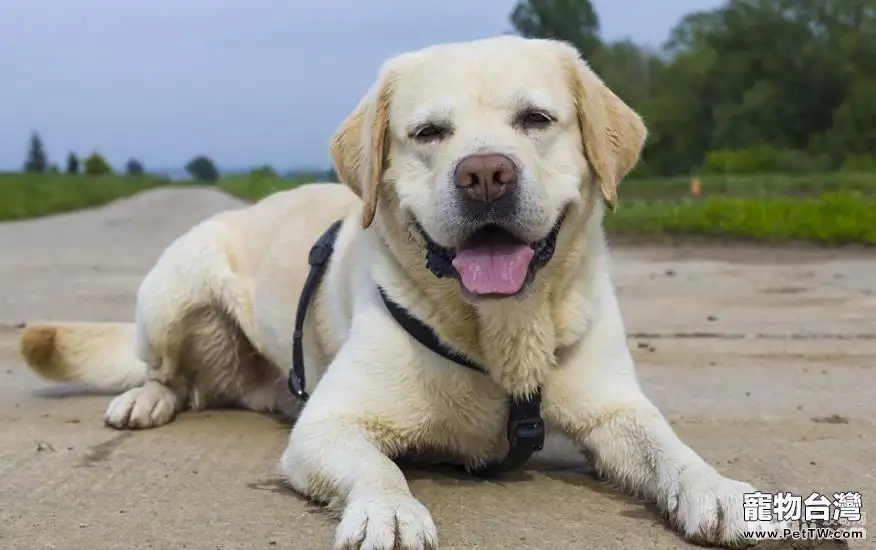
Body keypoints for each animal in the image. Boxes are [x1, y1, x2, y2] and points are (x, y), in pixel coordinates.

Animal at [18, 36, 780, 548]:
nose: (485, 175)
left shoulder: (614, 409)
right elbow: (377, 466)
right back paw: (145, 399)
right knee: (166, 371)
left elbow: (668, 449)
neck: (499, 333)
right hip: (176, 284)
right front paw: (389, 510)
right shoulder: (327, 424)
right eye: (428, 132)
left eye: (536, 119)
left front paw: (719, 489)